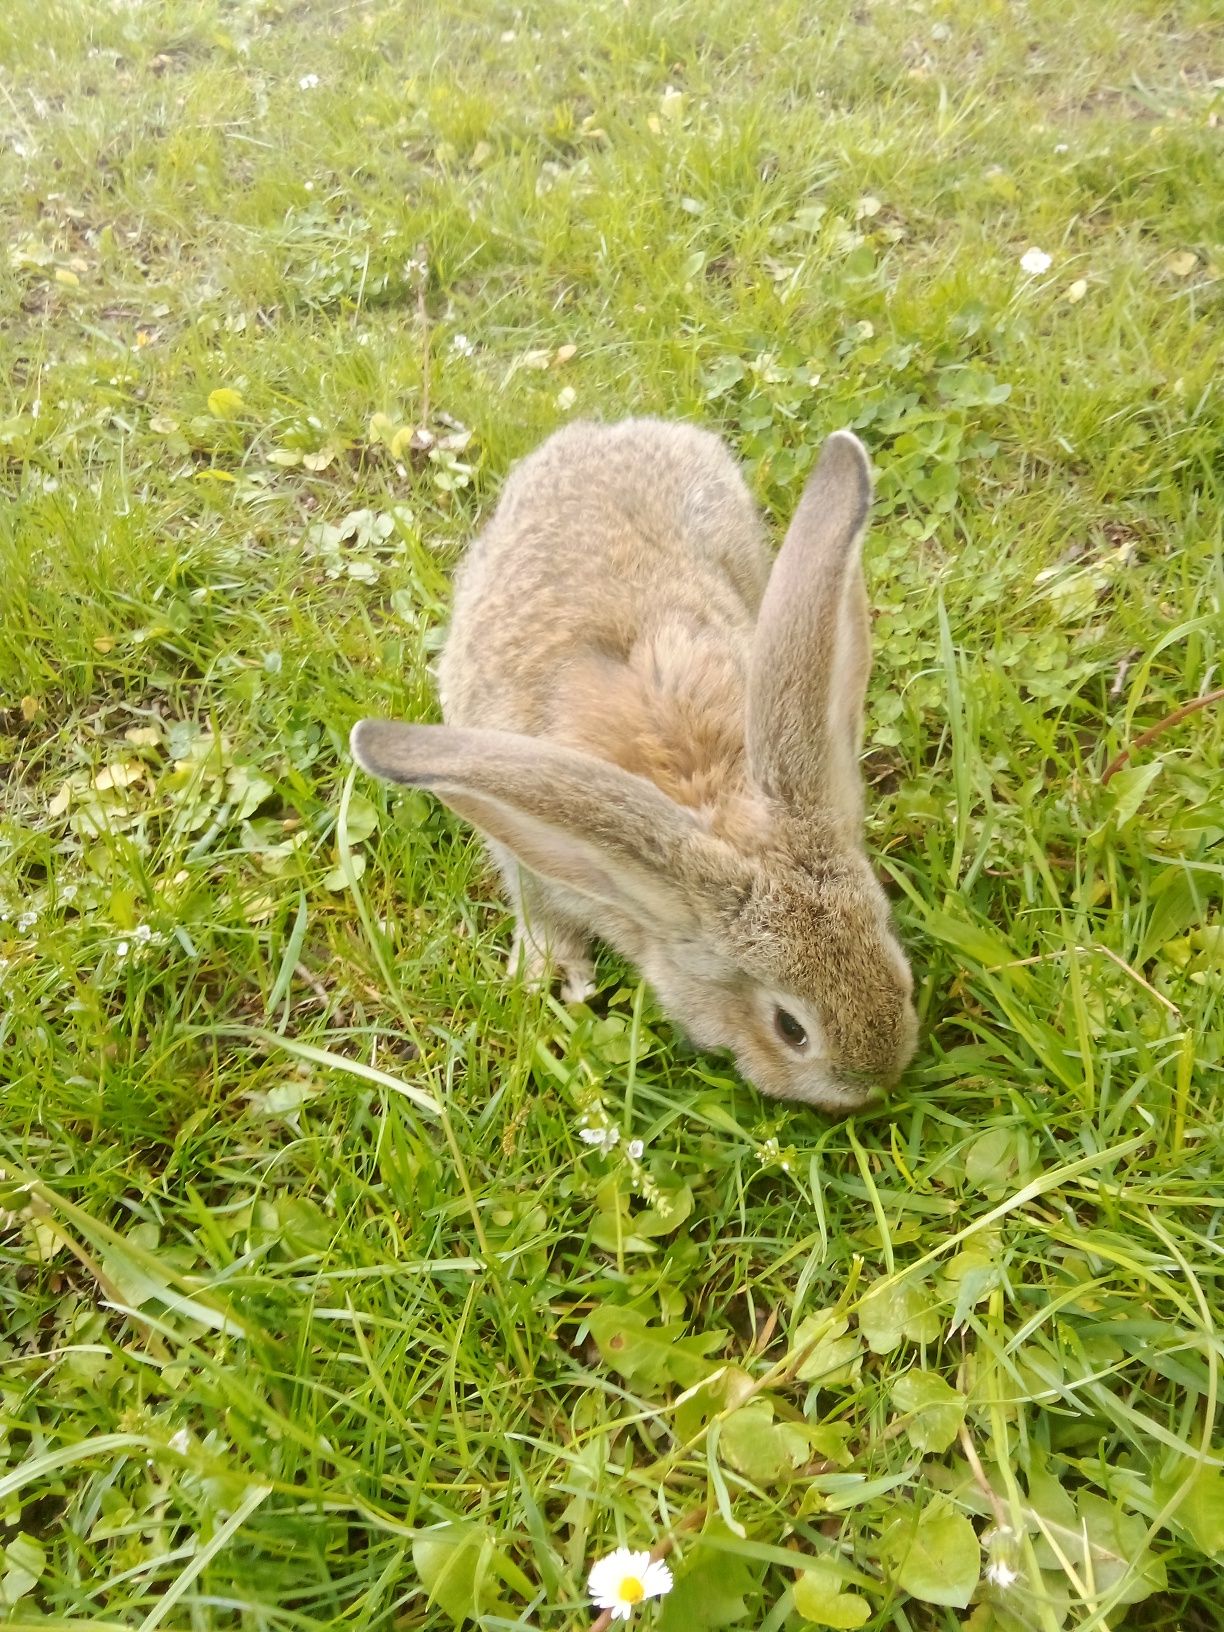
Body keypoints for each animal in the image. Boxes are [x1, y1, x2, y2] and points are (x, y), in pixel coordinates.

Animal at [349, 414, 913, 1116]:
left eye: (891, 944)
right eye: (791, 1028)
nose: (877, 1079)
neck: (704, 803)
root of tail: (610, 431)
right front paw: (552, 974)